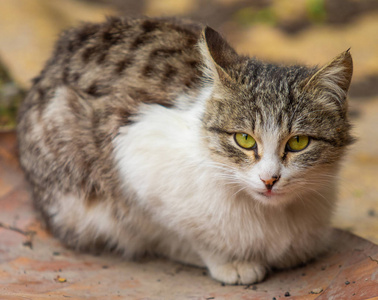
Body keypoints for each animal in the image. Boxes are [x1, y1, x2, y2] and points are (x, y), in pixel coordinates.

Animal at [17, 17, 354, 286]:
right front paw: (227, 260)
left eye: (298, 143)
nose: (269, 179)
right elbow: (180, 231)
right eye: (244, 139)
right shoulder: (132, 157)